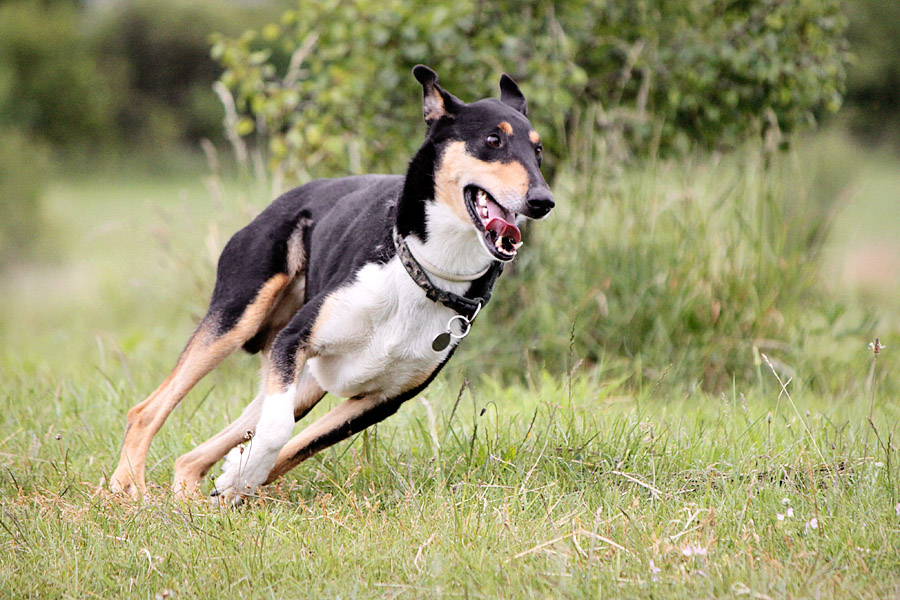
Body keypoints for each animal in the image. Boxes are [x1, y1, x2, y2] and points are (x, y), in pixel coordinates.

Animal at [109, 65, 552, 502]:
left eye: (538, 150)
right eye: (493, 140)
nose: (543, 201)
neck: (425, 272)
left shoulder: (382, 400)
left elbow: (293, 449)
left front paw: (238, 477)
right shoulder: (294, 340)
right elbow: (278, 432)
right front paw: (241, 475)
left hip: (305, 384)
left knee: (191, 457)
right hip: (239, 317)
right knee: (146, 411)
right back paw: (125, 489)